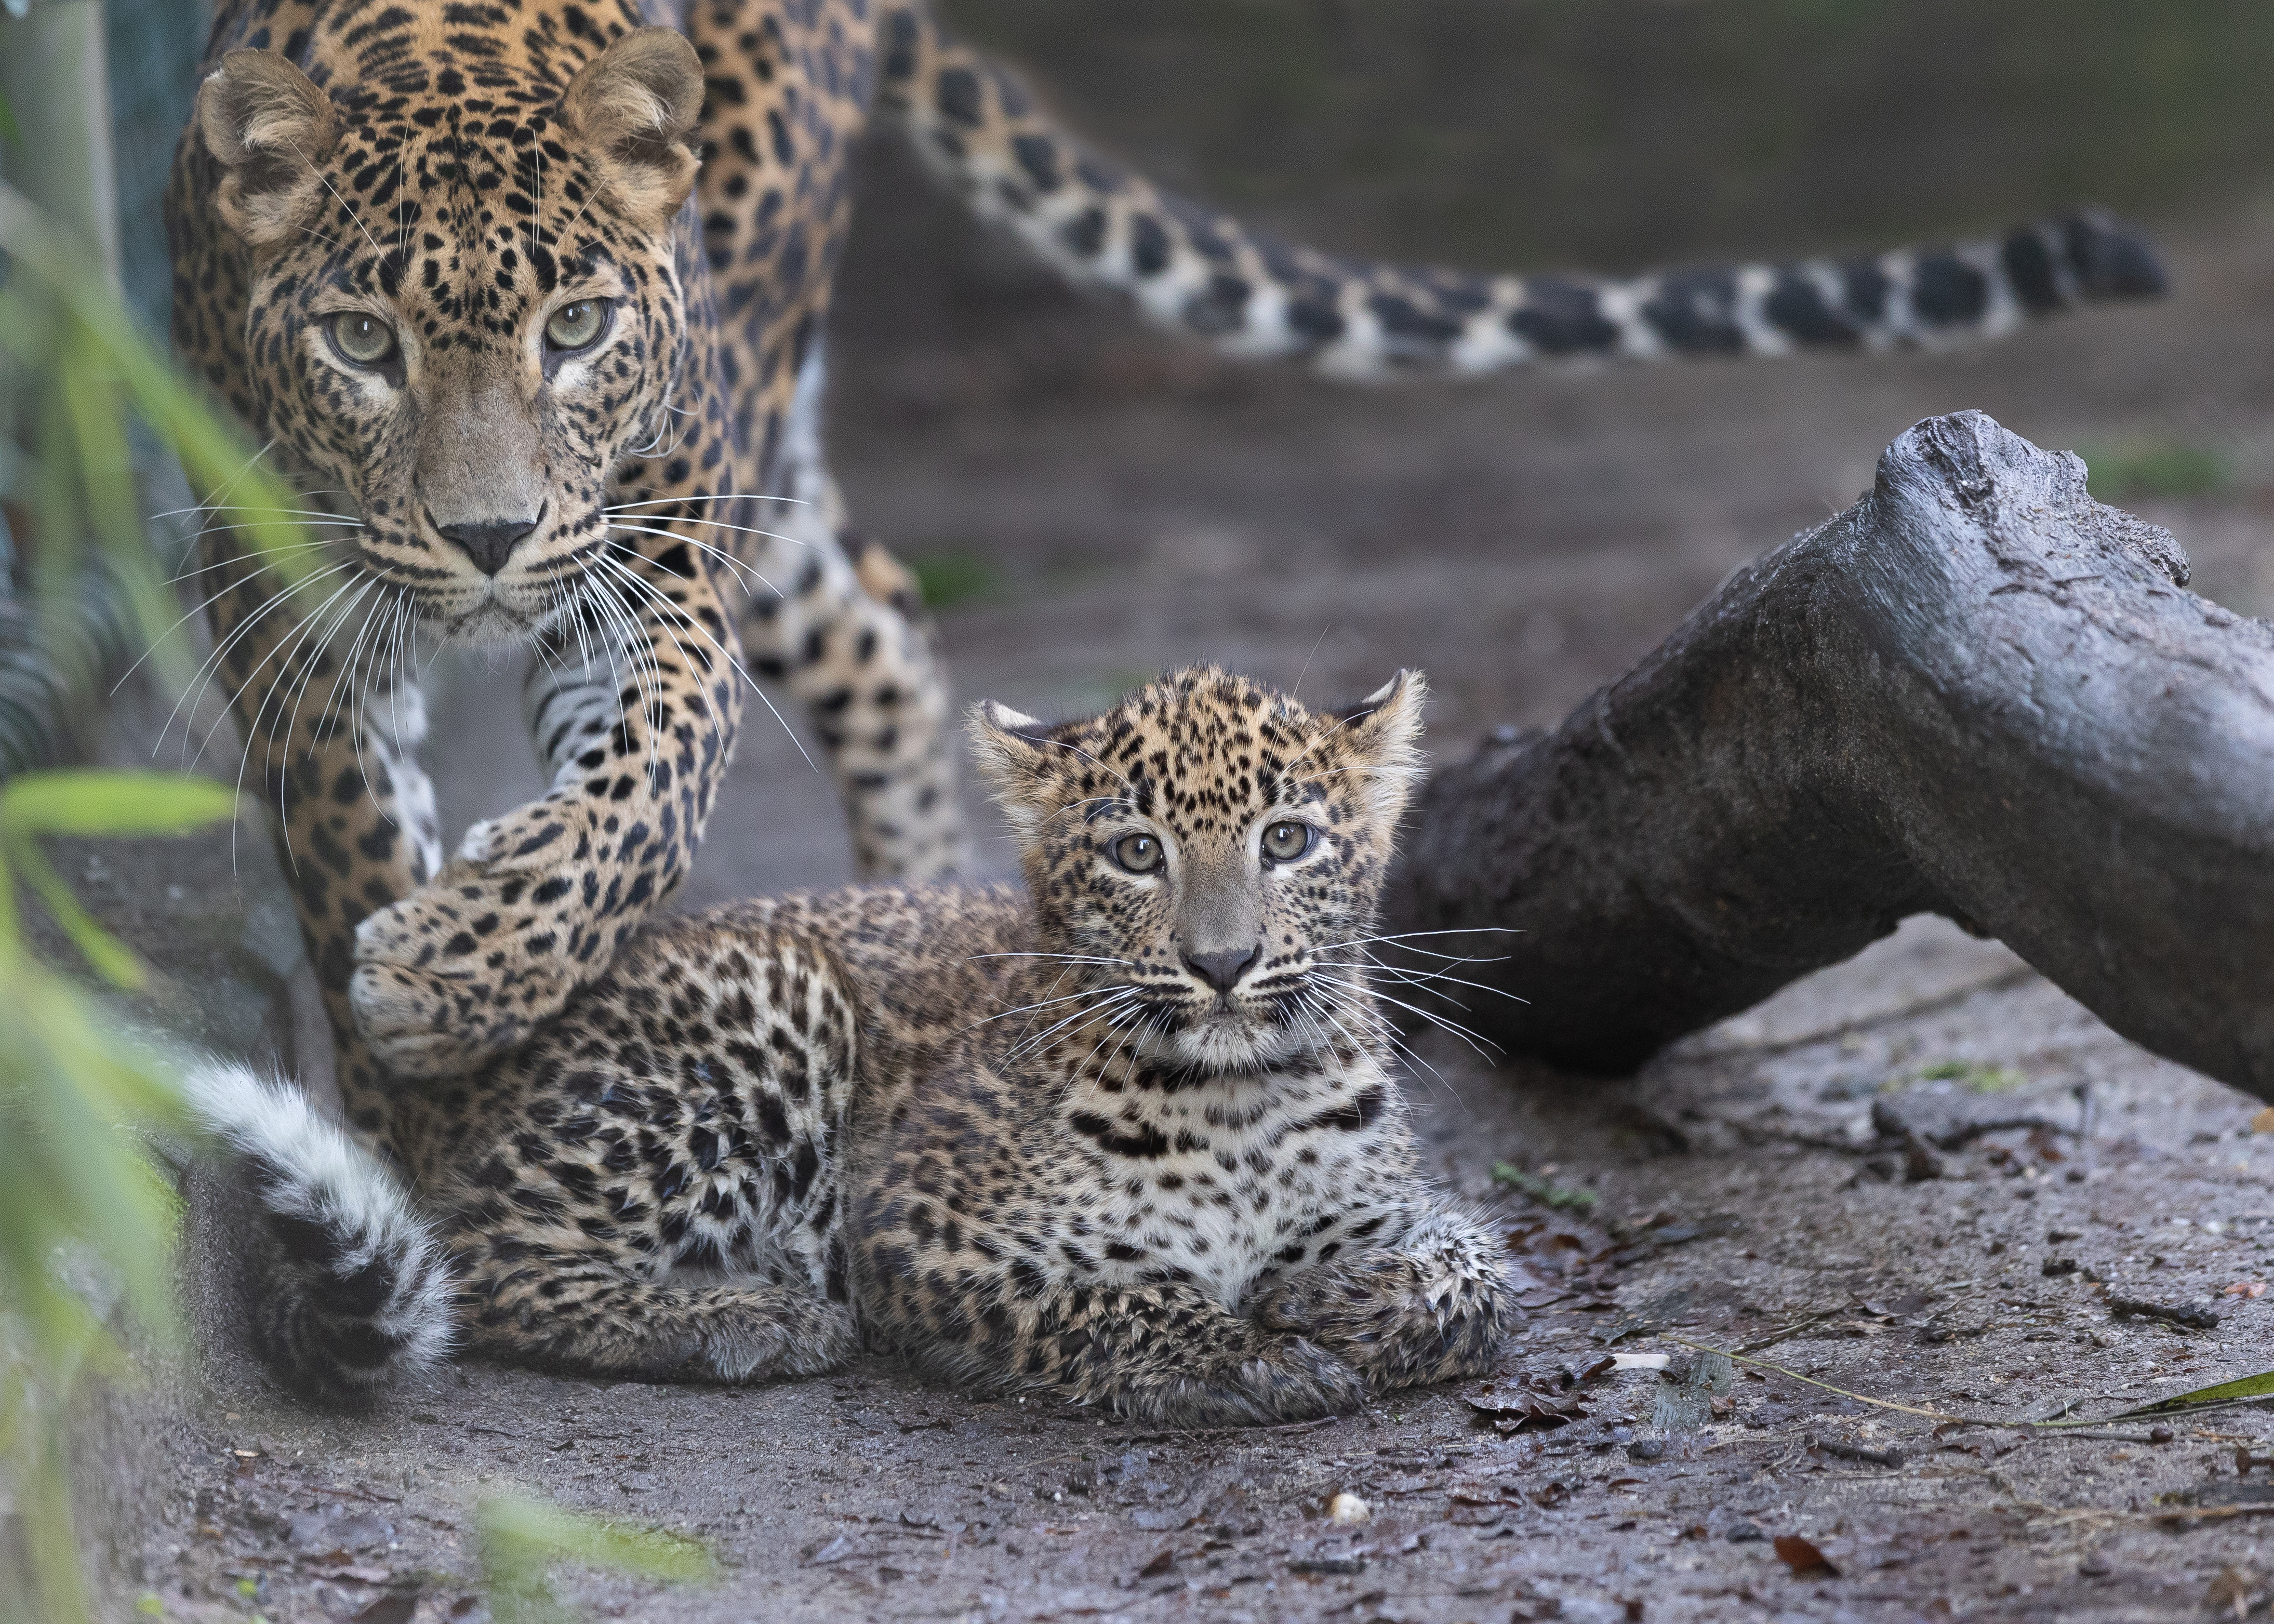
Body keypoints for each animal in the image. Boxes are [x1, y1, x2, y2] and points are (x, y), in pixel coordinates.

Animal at [167, 0, 2167, 1163]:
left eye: (577, 331)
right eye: (358, 343)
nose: (489, 539)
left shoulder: (645, 567)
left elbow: (637, 790)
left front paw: (464, 975)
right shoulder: (279, 601)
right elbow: (346, 826)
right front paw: (417, 1047)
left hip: (736, 436)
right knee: (881, 620)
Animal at [187, 663, 1511, 1425]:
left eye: (1287, 839)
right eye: (1137, 853)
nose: (1223, 964)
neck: (1238, 1099)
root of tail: (424, 1100)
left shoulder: (1398, 1202)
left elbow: (1476, 1276)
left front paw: (1334, 1300)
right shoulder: (916, 1227)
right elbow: (1110, 1298)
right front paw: (1245, 1357)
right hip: (778, 1001)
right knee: (477, 1256)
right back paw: (742, 1314)